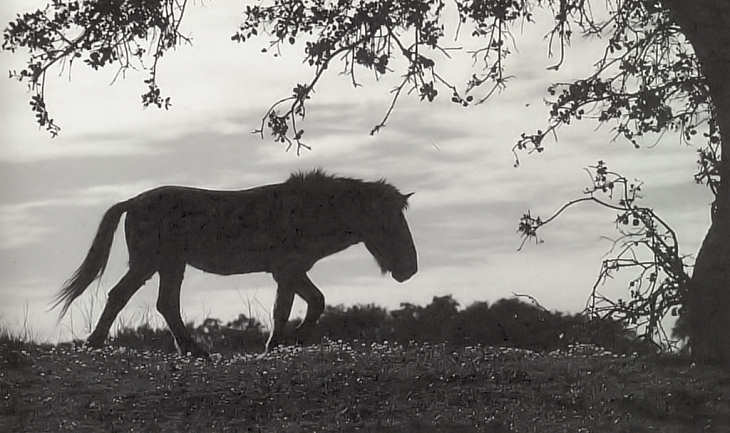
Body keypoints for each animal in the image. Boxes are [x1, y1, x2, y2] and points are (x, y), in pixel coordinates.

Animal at [52, 169, 416, 354]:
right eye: (389, 221)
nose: (409, 268)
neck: (306, 210)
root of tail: (132, 201)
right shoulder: (287, 270)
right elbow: (287, 308)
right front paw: (276, 344)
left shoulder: (292, 271)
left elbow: (313, 302)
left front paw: (292, 340)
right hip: (149, 263)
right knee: (122, 296)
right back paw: (96, 343)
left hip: (171, 265)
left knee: (165, 304)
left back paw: (192, 349)